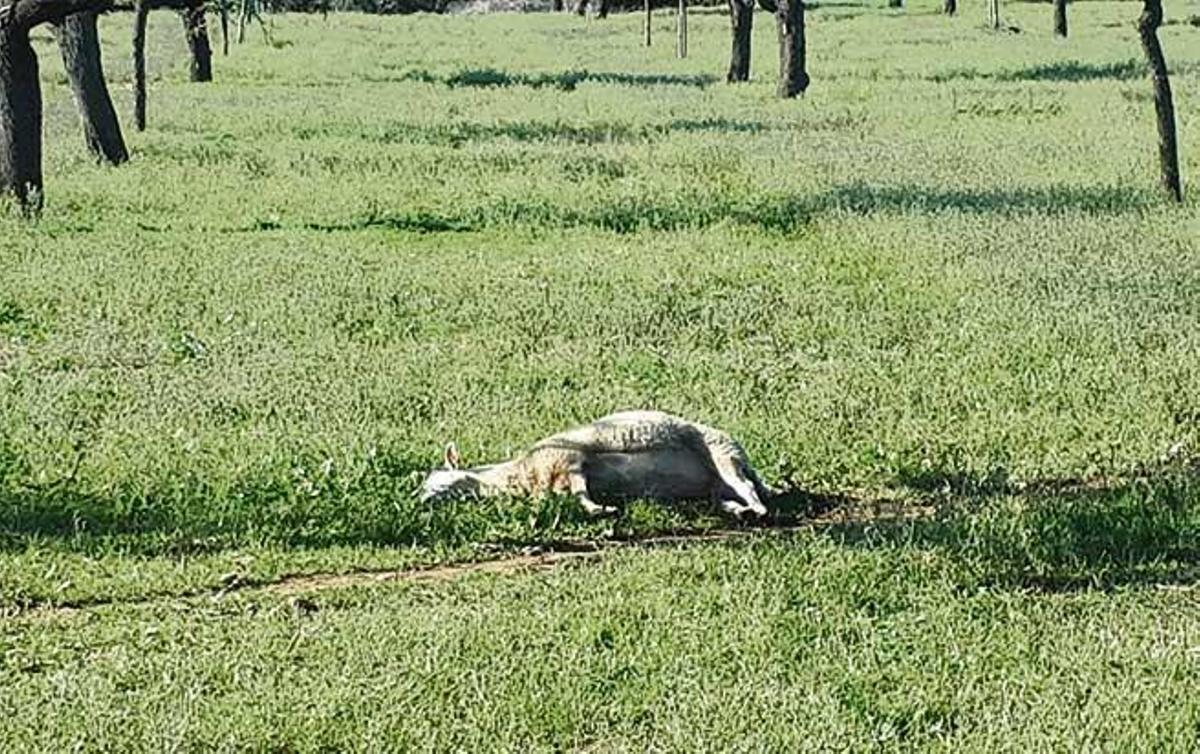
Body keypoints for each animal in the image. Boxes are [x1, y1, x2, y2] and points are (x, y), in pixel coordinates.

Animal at [419, 410, 775, 519]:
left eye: (436, 479)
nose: (418, 500)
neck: (521, 472)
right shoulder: (559, 479)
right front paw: (602, 509)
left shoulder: (570, 461)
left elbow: (581, 494)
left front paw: (601, 510)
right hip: (716, 485)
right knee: (729, 496)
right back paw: (738, 511)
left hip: (724, 454)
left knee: (749, 489)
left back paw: (756, 510)